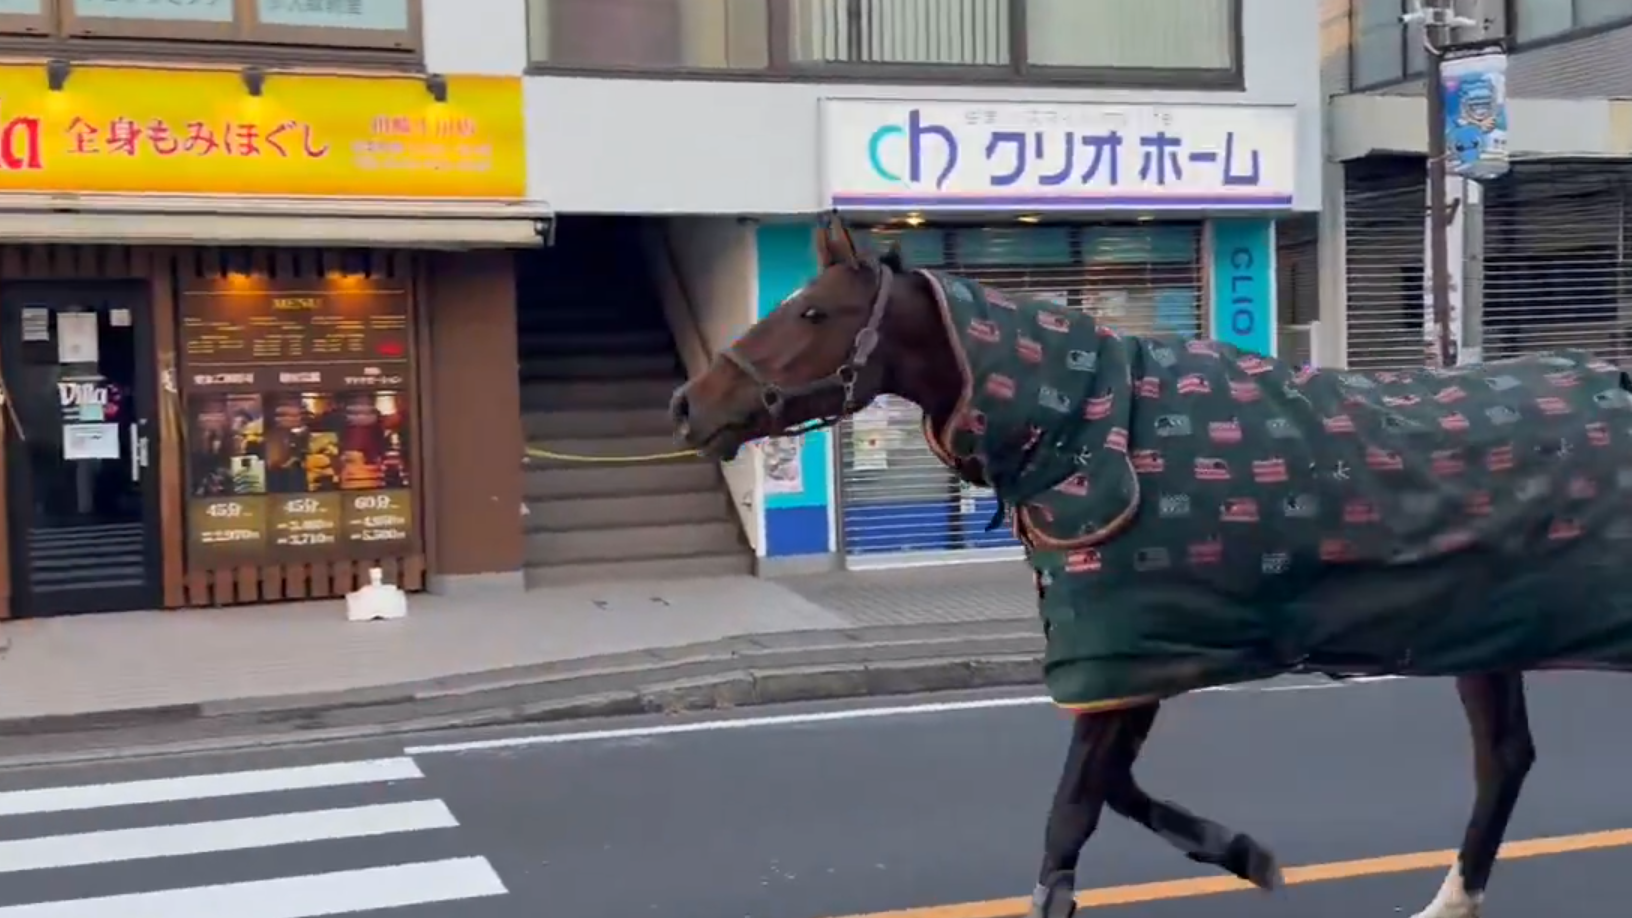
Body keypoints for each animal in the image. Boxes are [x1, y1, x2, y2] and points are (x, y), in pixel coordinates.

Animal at [669, 213, 1632, 918]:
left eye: (810, 312)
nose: (689, 403)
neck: (1087, 433)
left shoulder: (1124, 656)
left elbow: (1070, 818)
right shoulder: (1130, 662)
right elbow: (1113, 794)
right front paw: (1245, 854)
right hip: (1488, 630)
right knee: (1504, 760)